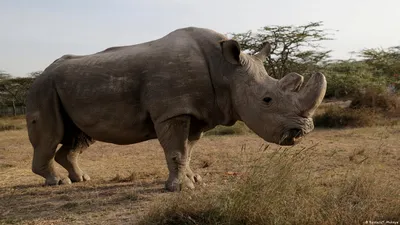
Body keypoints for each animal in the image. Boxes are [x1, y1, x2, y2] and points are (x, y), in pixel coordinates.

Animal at [25, 26, 326, 192]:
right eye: (267, 100)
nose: (302, 132)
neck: (226, 70)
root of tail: (41, 74)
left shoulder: (197, 112)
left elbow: (187, 151)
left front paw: (195, 179)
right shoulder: (172, 111)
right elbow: (176, 151)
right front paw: (180, 189)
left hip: (68, 88)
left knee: (79, 136)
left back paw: (81, 179)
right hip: (43, 88)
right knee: (51, 135)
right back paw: (58, 182)